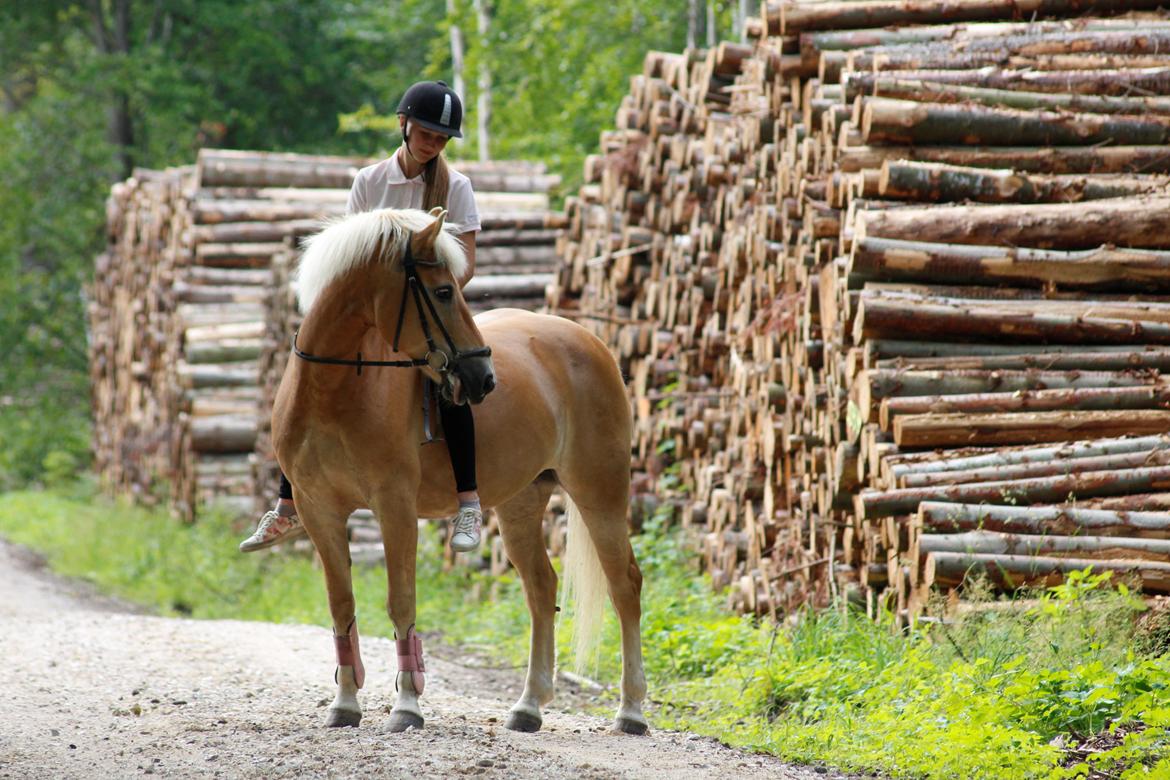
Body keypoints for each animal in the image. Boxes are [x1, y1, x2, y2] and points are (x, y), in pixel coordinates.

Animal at [270, 204, 650, 734]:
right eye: (443, 292)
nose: (484, 379)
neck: (337, 390)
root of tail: (588, 340)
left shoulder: (395, 507)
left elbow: (401, 600)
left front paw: (407, 706)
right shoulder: (318, 510)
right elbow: (341, 603)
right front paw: (344, 705)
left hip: (600, 491)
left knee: (624, 584)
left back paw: (630, 710)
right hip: (521, 502)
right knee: (541, 588)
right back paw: (528, 706)